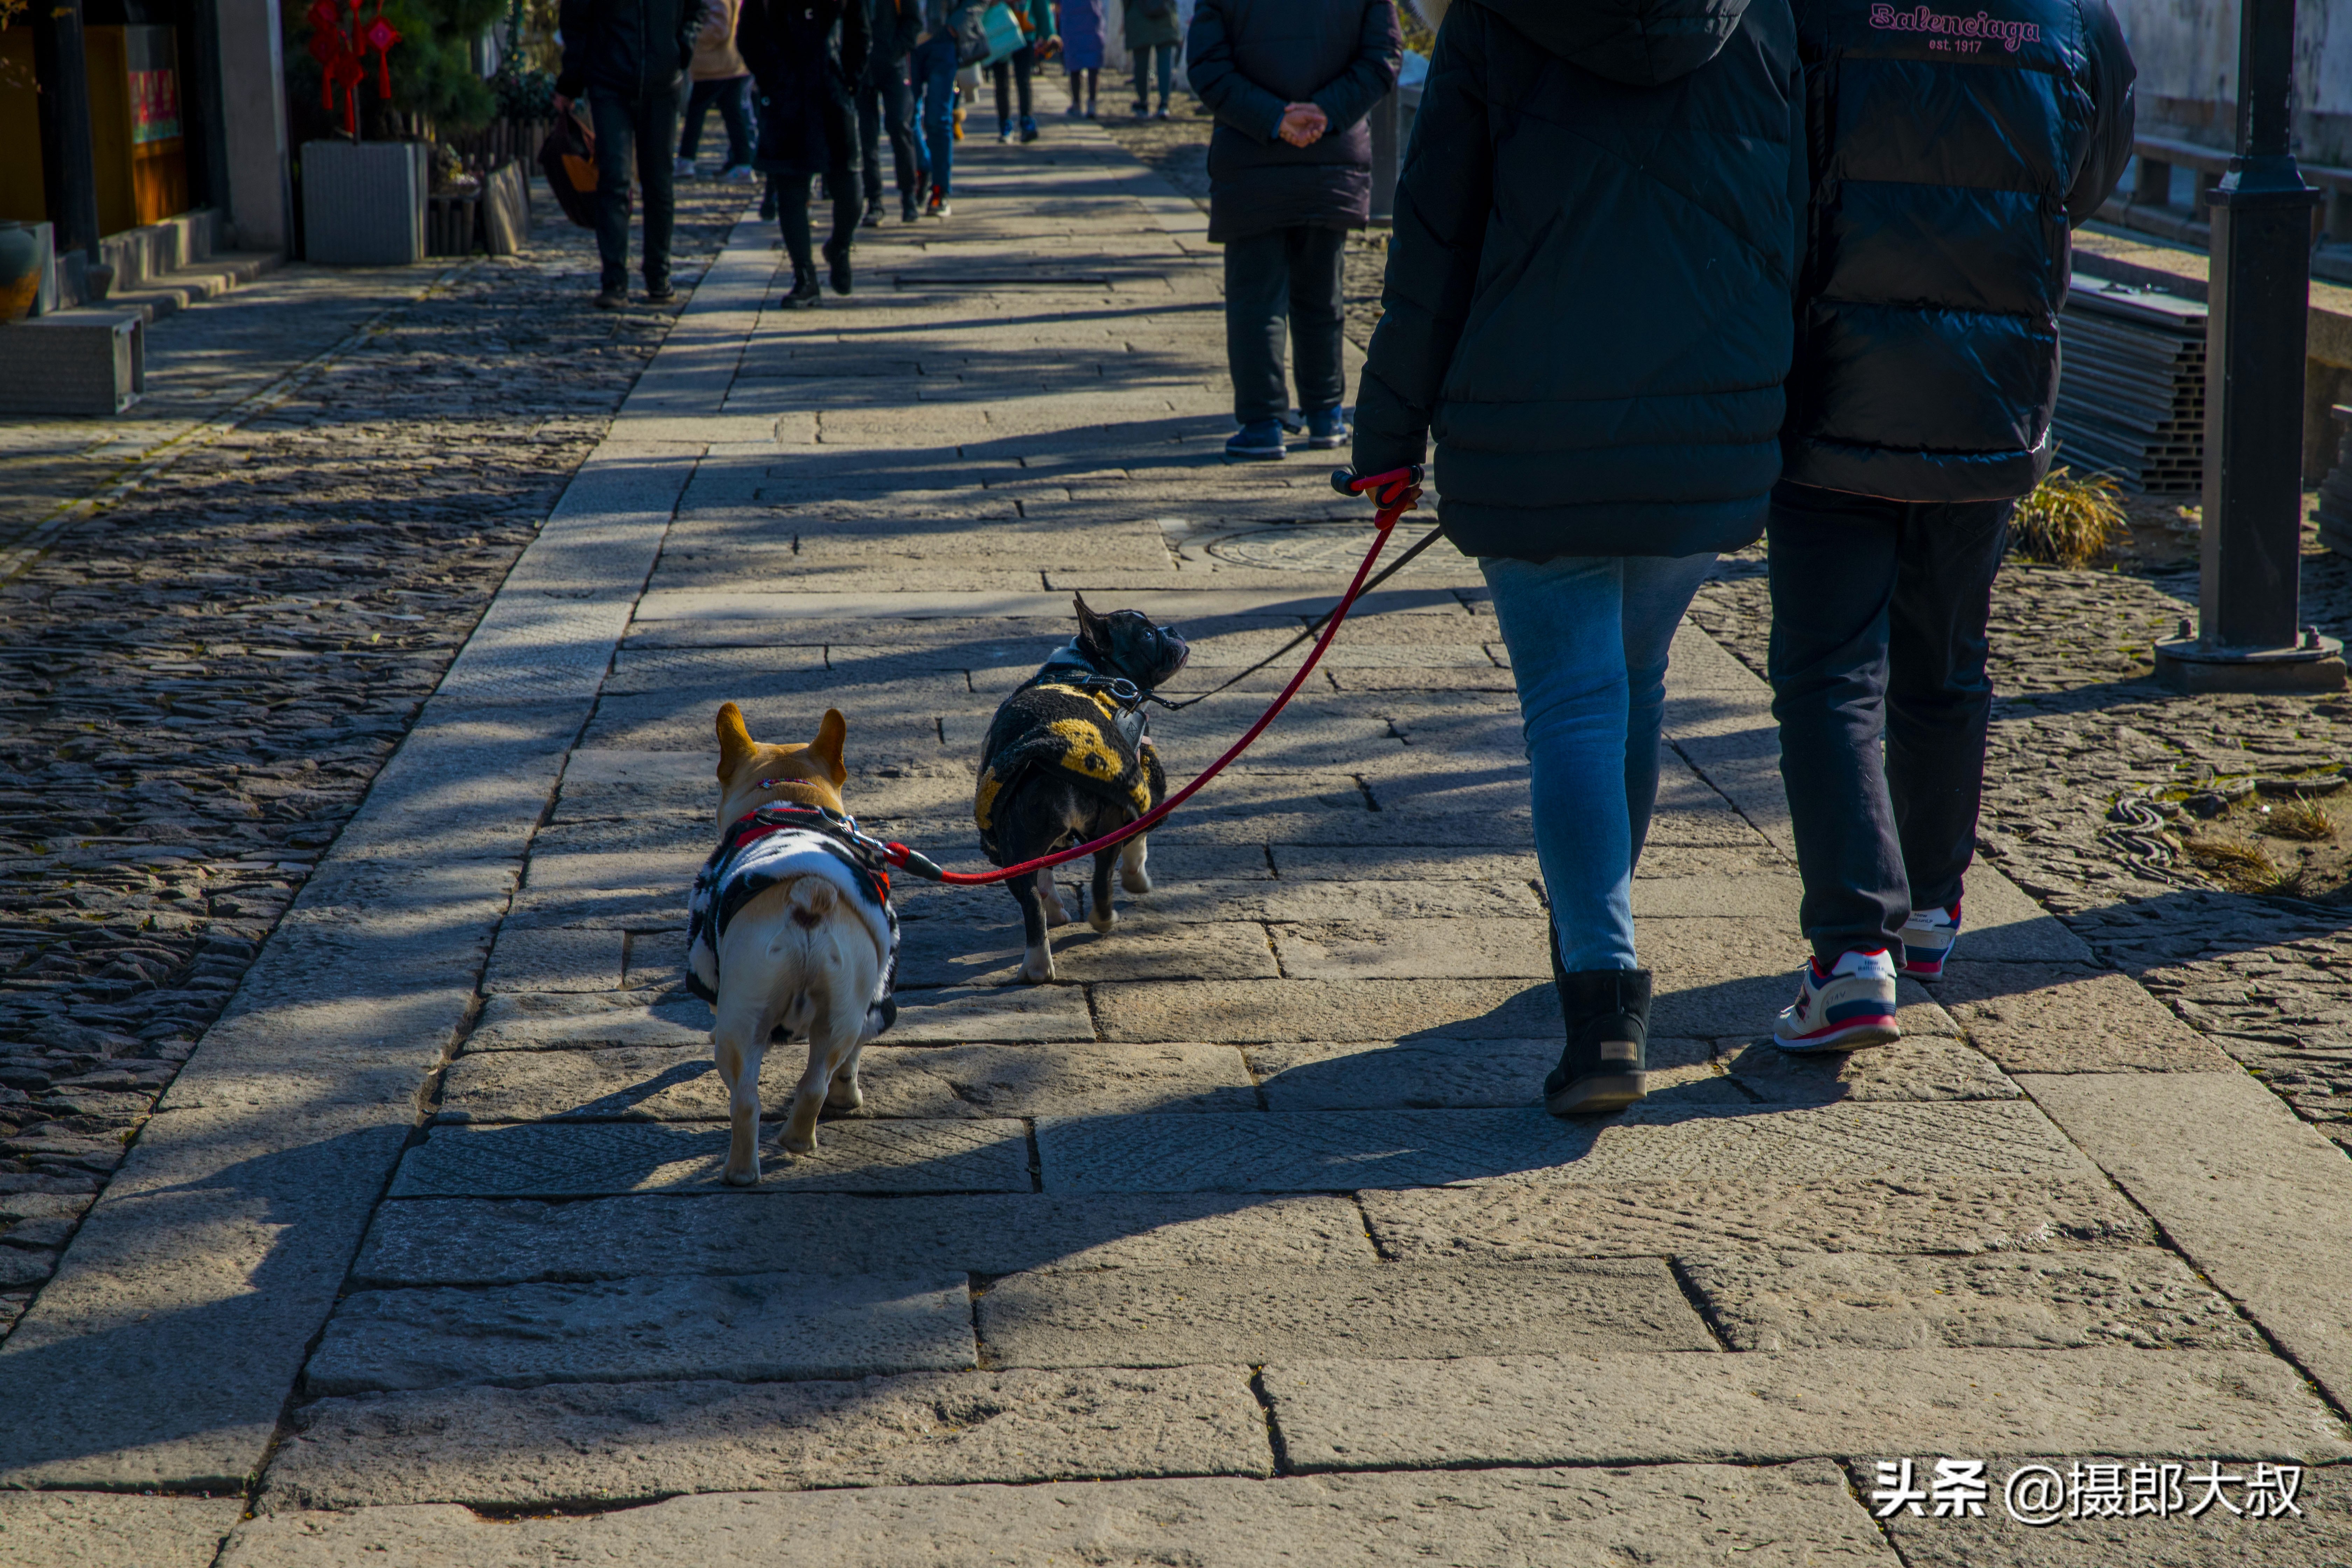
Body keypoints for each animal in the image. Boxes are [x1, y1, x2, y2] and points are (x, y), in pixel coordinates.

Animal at [687, 705, 898, 1185]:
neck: (790, 798)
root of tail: (808, 894)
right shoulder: (870, 1000)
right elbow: (852, 1058)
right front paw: (848, 1096)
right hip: (840, 1012)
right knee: (811, 1082)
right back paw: (791, 1144)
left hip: (745, 1017)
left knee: (745, 1094)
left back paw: (746, 1167)